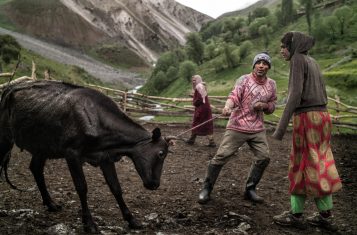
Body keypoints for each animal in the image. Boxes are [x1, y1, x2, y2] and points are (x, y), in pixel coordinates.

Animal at [0, 79, 173, 233]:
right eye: (161, 153)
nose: (155, 184)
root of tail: (8, 87)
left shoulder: (105, 158)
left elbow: (116, 188)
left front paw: (132, 220)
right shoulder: (72, 154)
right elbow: (82, 187)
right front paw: (89, 223)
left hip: (42, 147)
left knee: (36, 168)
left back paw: (51, 204)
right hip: (6, 138)